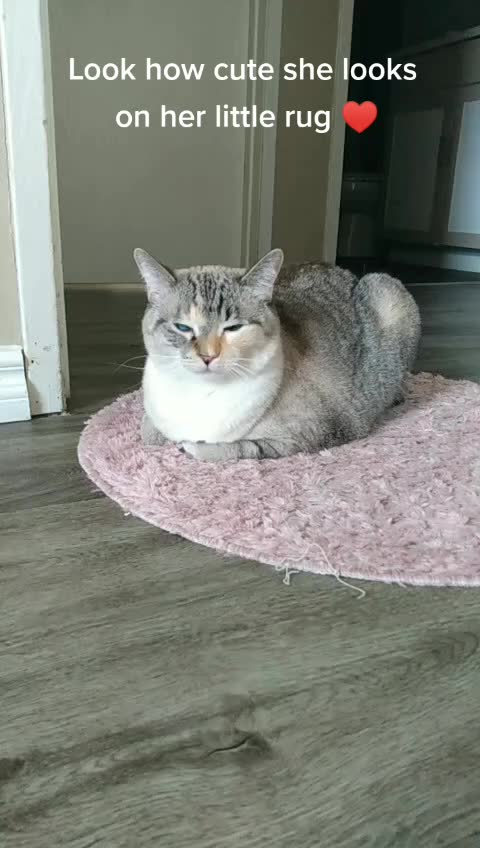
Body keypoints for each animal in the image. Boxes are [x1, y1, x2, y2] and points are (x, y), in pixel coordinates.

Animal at [134, 248, 420, 462]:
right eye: (183, 328)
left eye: (233, 328)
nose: (208, 356)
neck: (200, 395)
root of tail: (347, 272)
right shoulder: (152, 422)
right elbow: (149, 434)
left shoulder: (309, 434)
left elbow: (240, 448)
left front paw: (192, 447)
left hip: (387, 292)